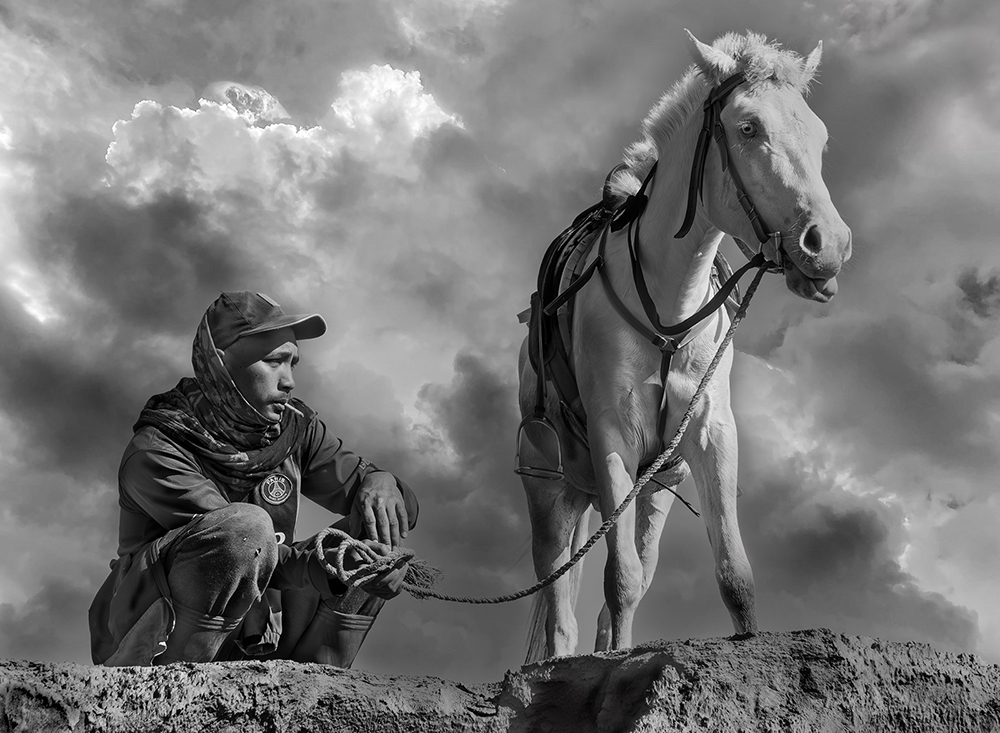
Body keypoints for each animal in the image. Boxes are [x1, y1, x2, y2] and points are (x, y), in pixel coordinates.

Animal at [516, 28, 852, 660]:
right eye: (748, 127)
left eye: (820, 136)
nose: (829, 246)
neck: (668, 302)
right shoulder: (613, 436)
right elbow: (619, 579)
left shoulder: (710, 432)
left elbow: (733, 575)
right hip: (549, 485)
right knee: (557, 594)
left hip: (656, 489)